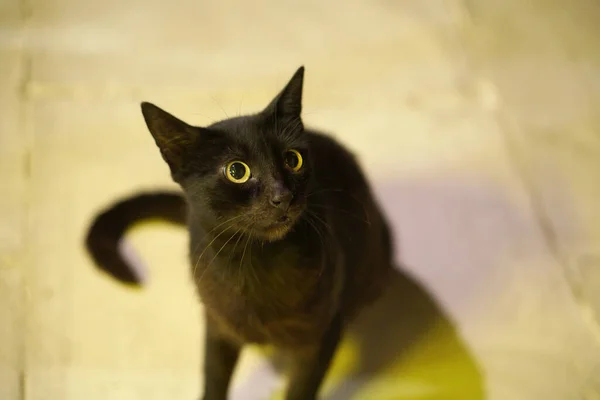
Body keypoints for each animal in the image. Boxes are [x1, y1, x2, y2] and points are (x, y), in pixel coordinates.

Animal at [84, 65, 394, 400]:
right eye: (237, 171)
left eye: (293, 159)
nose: (283, 195)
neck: (257, 262)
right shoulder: (217, 327)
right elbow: (213, 381)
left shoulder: (322, 336)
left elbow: (300, 390)